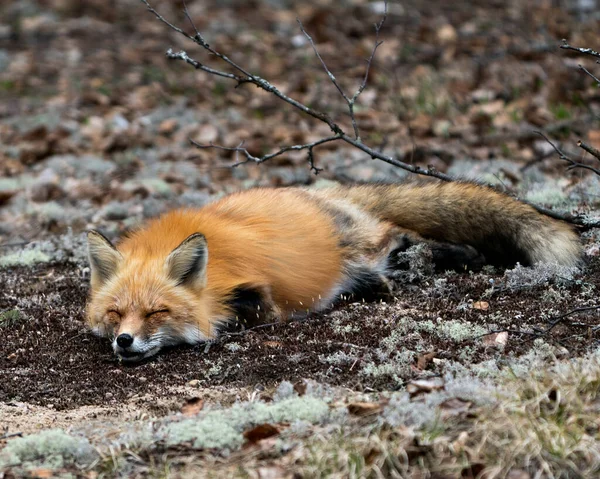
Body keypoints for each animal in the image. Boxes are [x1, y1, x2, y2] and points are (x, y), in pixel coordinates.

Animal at [88, 182, 580, 362]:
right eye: (115, 314)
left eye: (157, 313)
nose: (124, 340)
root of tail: (322, 192)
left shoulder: (260, 296)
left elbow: (249, 311)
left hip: (361, 245)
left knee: (400, 236)